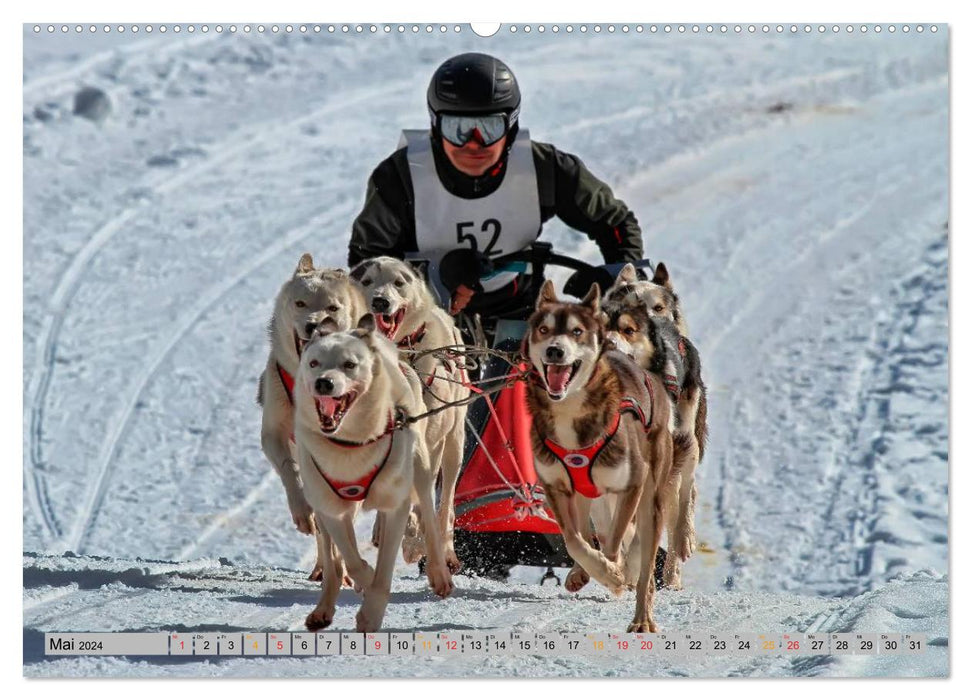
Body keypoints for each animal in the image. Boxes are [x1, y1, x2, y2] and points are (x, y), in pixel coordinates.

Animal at [256, 253, 366, 580]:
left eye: (333, 307)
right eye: (301, 303)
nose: (314, 324)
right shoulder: (274, 434)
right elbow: (290, 472)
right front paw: (302, 511)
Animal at [292, 314, 456, 632]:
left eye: (349, 364)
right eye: (314, 363)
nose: (323, 383)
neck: (350, 445)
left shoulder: (395, 506)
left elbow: (384, 571)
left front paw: (371, 613)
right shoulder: (331, 509)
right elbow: (353, 560)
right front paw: (364, 580)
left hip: (422, 470)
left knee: (431, 520)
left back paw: (439, 574)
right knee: (333, 562)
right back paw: (324, 607)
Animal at [350, 254, 470, 572]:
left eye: (398, 282)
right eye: (366, 280)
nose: (380, 301)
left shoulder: (430, 443)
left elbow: (423, 498)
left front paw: (415, 540)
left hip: (454, 445)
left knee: (446, 503)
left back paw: (443, 547)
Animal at [524, 280, 676, 636]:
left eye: (577, 331)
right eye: (543, 329)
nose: (554, 351)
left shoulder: (631, 485)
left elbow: (614, 543)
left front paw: (613, 574)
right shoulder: (555, 487)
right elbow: (573, 540)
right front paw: (589, 569)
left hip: (651, 498)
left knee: (643, 565)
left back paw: (641, 616)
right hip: (585, 495)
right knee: (585, 528)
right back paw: (583, 572)